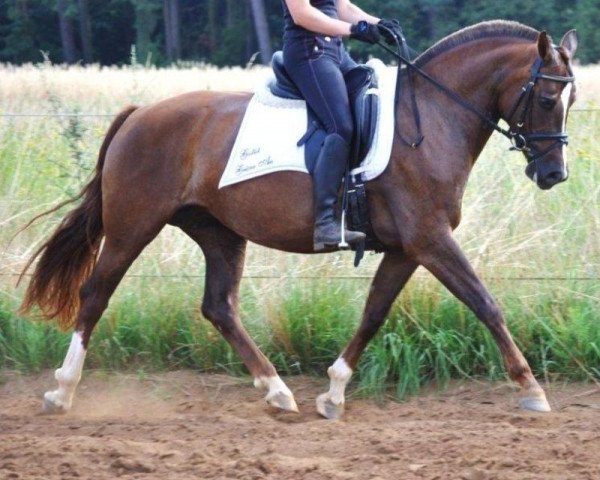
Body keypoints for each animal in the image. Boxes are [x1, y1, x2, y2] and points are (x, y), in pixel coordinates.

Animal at [19, 20, 576, 418]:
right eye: (549, 98)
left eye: (571, 100)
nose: (554, 174)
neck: (432, 118)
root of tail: (138, 115)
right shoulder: (430, 239)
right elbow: (485, 303)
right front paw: (531, 389)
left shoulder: (406, 247)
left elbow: (374, 313)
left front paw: (333, 393)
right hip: (133, 227)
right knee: (96, 294)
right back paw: (62, 392)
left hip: (219, 233)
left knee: (219, 307)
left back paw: (278, 392)